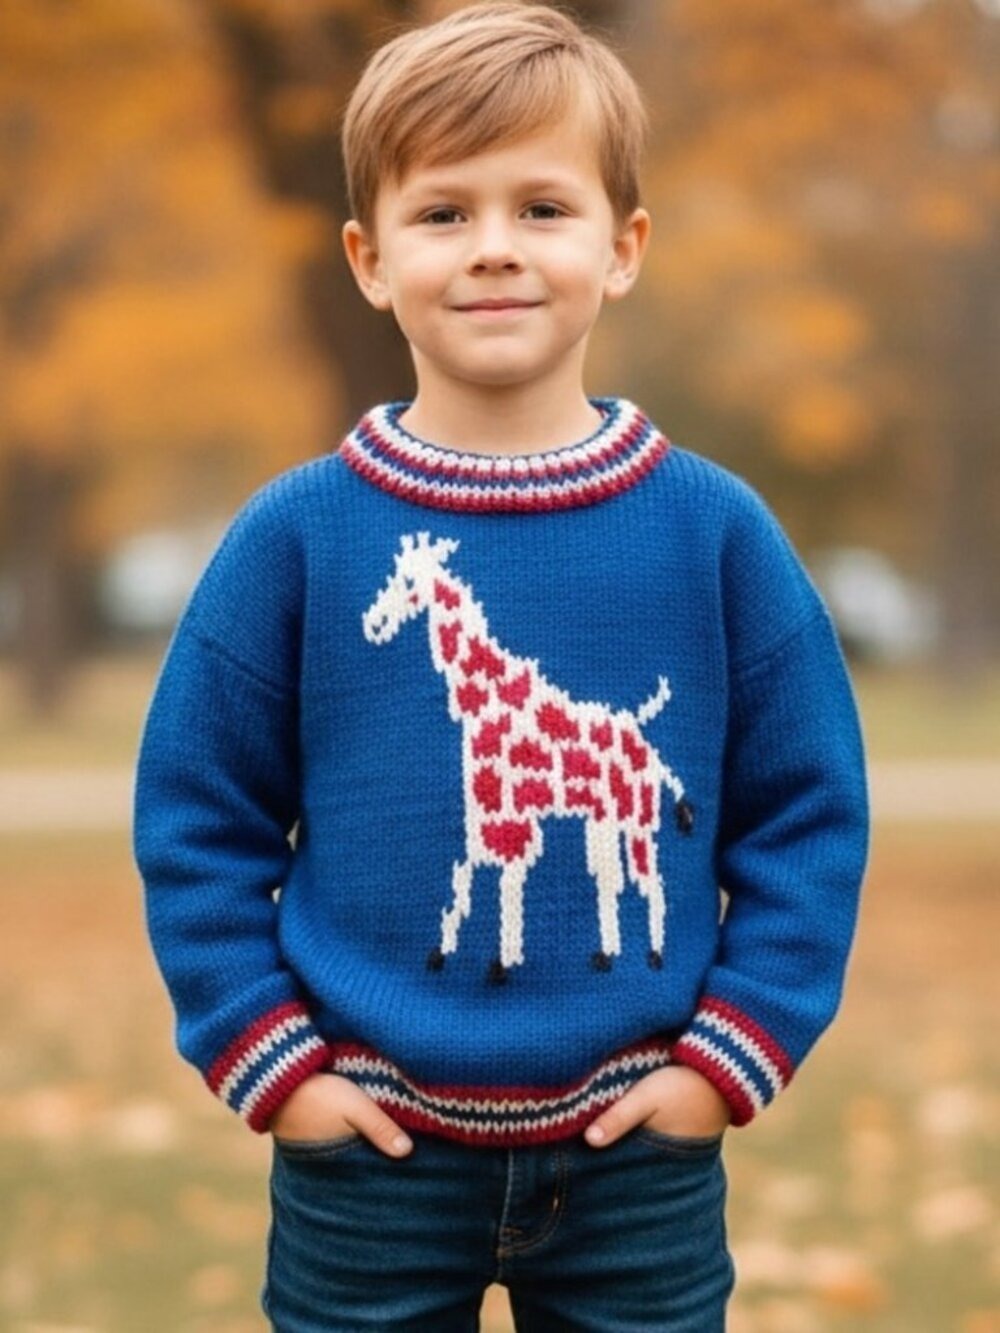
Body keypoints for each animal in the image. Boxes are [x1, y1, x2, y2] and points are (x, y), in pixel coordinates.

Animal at [361, 531, 694, 985]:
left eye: (410, 582)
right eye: (394, 573)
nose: (374, 623)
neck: (482, 701)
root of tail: (651, 752)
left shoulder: (508, 810)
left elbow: (506, 881)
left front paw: (502, 961)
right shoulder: (484, 807)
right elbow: (466, 872)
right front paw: (443, 951)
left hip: (637, 816)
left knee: (648, 881)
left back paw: (654, 955)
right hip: (605, 818)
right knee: (613, 879)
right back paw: (608, 955)